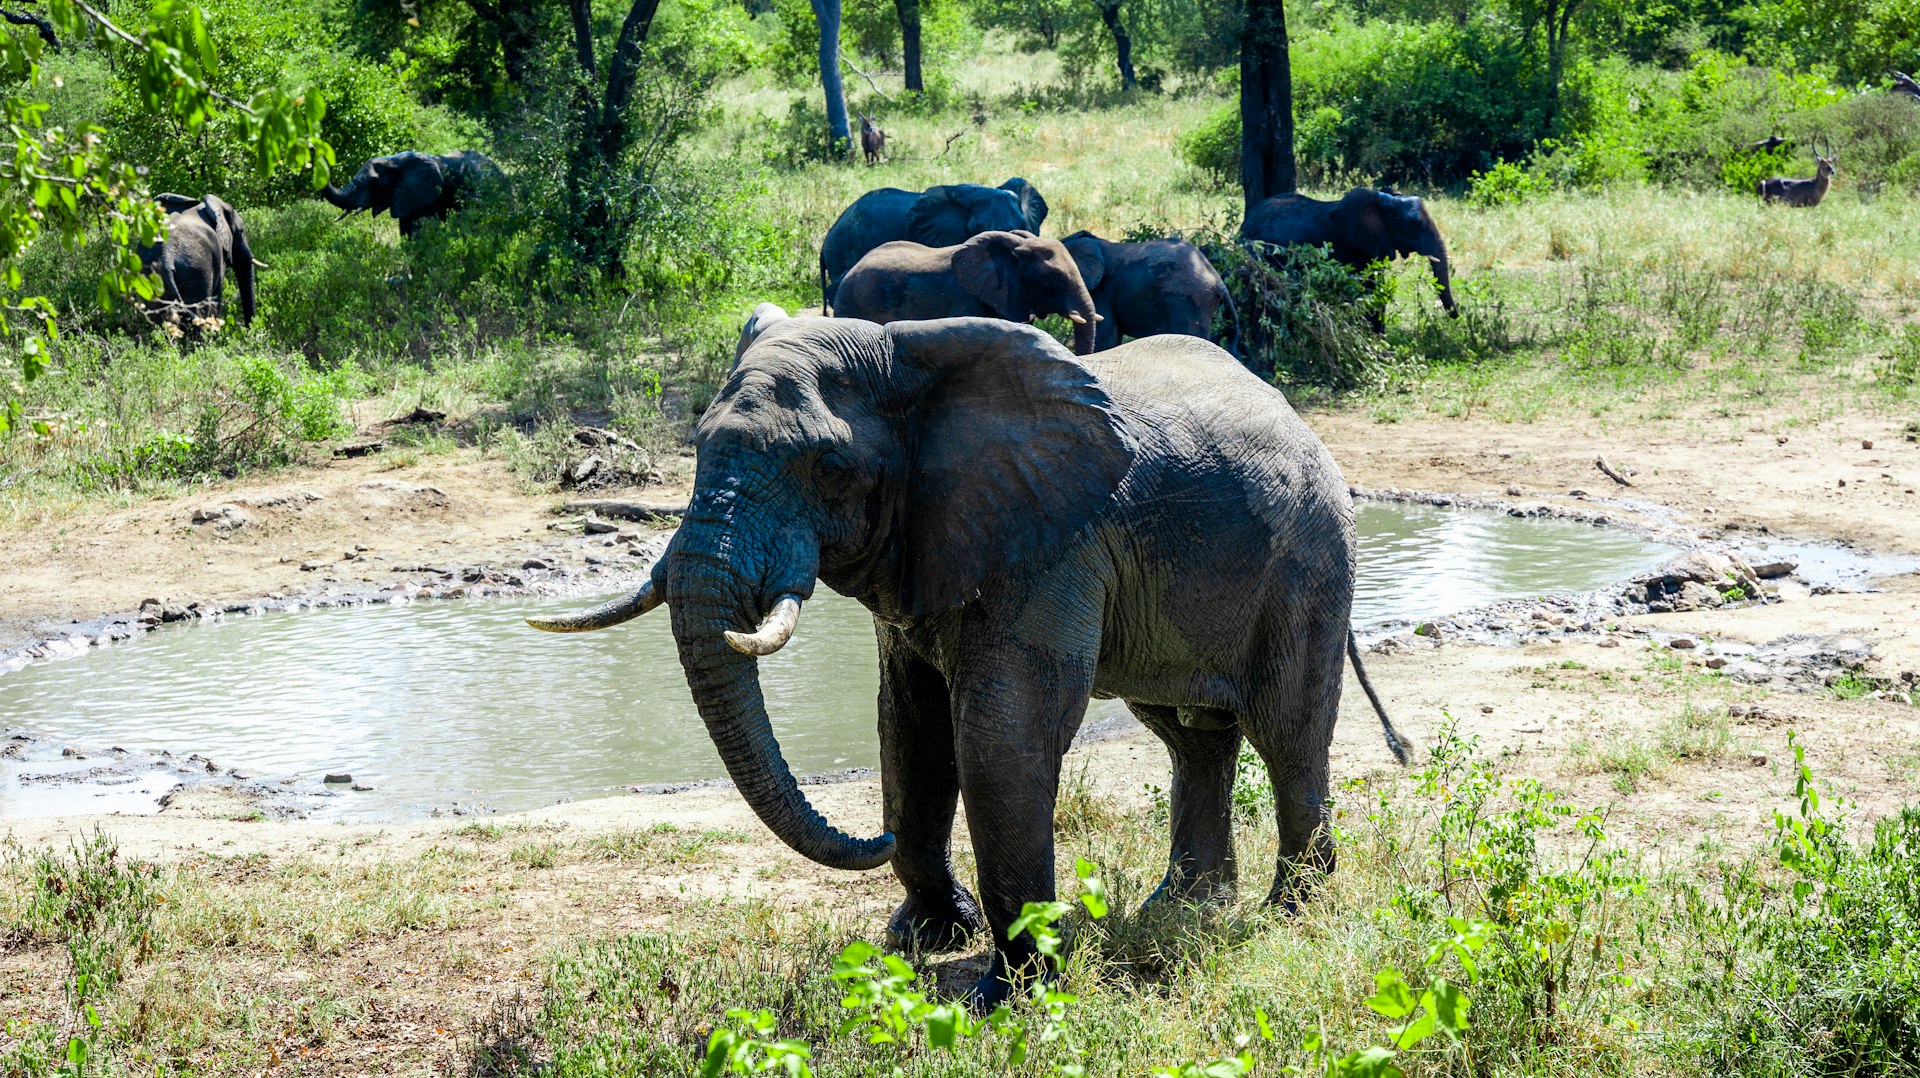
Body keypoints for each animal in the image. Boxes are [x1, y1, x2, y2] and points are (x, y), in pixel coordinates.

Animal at [136, 193, 261, 329]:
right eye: (241, 231)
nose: (247, 328)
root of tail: (166, 258)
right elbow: (217, 296)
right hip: (197, 272)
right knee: (200, 311)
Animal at [319, 150, 500, 238]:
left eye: (374, 182)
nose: (314, 148)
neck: (395, 160)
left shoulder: (425, 196)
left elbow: (420, 231)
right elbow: (405, 232)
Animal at [528, 309, 1408, 1004]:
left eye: (830, 468)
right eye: (699, 446)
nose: (871, 841)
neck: (907, 357)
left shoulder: (1053, 545)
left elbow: (998, 740)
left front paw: (1006, 996)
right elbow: (909, 731)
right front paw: (924, 938)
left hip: (1308, 561)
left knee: (1288, 734)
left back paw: (1288, 914)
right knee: (1192, 735)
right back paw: (1183, 909)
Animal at [1240, 188, 1457, 322]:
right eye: (1413, 225)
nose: (1456, 315)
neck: (1383, 200)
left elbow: (1375, 288)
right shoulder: (1347, 246)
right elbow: (1363, 292)